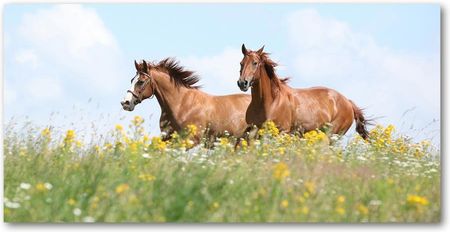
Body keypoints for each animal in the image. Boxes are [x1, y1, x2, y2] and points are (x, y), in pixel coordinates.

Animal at [121, 58, 251, 141]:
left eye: (140, 81)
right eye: (132, 80)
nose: (125, 103)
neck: (181, 104)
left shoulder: (192, 140)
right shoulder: (166, 137)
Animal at [236, 44, 370, 140]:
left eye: (255, 63)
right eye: (241, 63)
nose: (242, 83)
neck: (270, 102)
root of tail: (348, 102)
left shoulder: (282, 132)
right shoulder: (252, 130)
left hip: (333, 135)